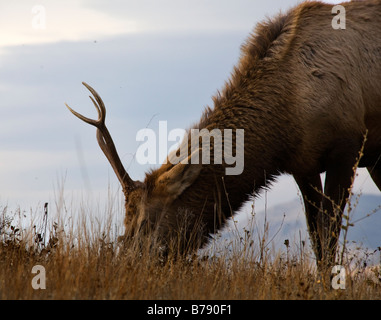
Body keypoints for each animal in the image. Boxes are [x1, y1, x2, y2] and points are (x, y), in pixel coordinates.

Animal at [67, 0, 380, 268]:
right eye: (125, 222)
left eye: (145, 222)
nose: (128, 264)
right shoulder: (303, 165)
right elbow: (317, 240)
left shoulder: (347, 150)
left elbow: (328, 237)